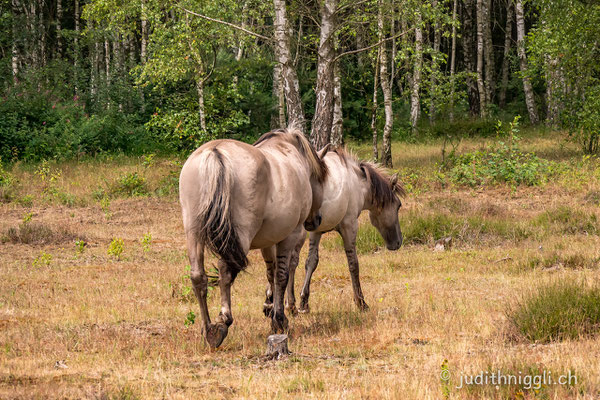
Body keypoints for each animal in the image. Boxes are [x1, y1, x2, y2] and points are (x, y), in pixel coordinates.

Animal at [178, 128, 328, 346]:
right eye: (321, 179)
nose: (316, 220)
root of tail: (215, 152)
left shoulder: (269, 240)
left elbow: (271, 273)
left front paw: (269, 306)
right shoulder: (289, 236)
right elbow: (281, 276)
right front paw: (279, 319)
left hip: (193, 231)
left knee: (198, 277)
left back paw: (208, 329)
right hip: (241, 234)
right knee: (225, 270)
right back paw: (223, 321)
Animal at [262, 145, 406, 318]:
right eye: (398, 205)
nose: (398, 242)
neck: (356, 181)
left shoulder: (316, 231)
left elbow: (311, 262)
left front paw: (304, 302)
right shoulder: (349, 226)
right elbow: (353, 264)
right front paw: (361, 302)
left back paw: (275, 303)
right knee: (287, 263)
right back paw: (284, 304)